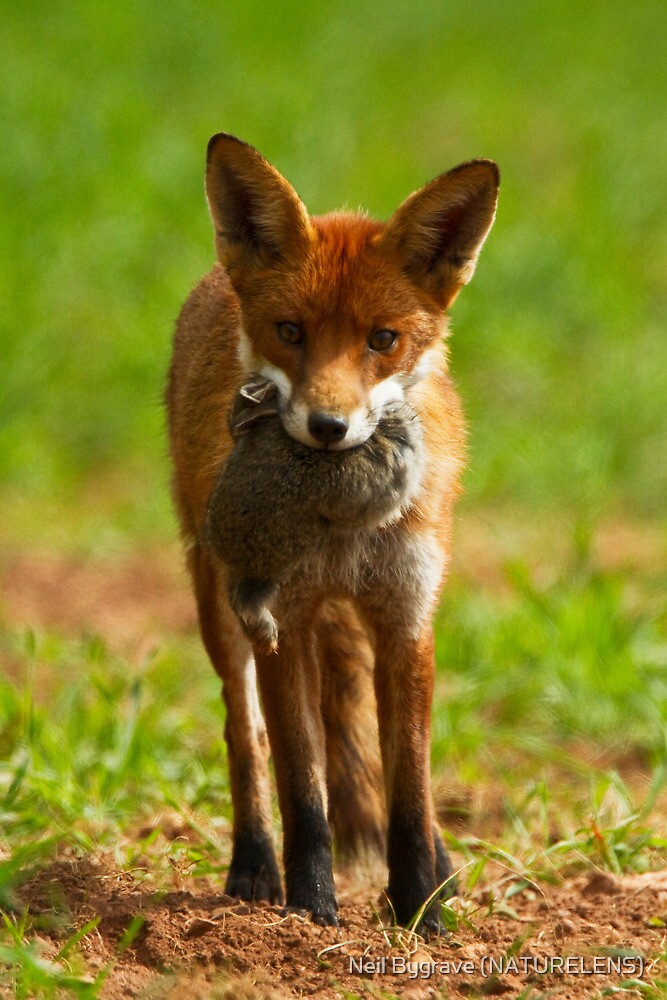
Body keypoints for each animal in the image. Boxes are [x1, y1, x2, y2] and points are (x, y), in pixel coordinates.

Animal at [166, 132, 499, 932]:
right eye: (291, 332)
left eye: (383, 339)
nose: (327, 427)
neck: (346, 530)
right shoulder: (282, 621)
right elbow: (304, 792)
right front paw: (311, 910)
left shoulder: (407, 620)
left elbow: (409, 790)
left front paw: (420, 913)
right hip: (218, 600)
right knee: (245, 736)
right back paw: (255, 867)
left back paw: (442, 869)